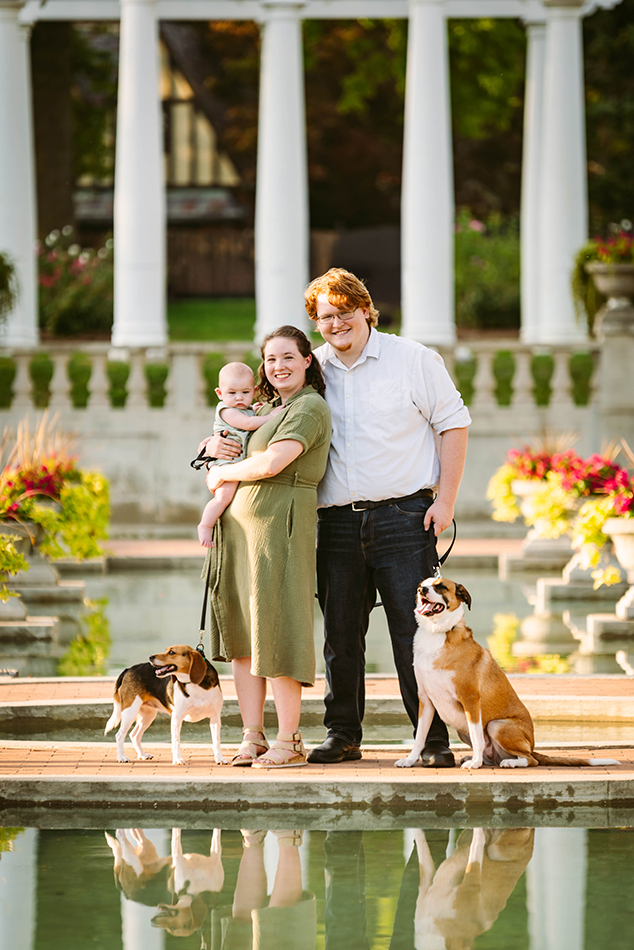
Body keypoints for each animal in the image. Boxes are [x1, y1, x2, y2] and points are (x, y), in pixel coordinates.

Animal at [396, 576, 616, 768]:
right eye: (421, 585)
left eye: (440, 586)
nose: (421, 590)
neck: (436, 633)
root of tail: (532, 746)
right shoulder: (425, 700)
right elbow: (420, 737)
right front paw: (410, 760)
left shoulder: (470, 699)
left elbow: (477, 737)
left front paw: (475, 763)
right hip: (464, 730)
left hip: (497, 725)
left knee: (530, 759)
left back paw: (507, 762)